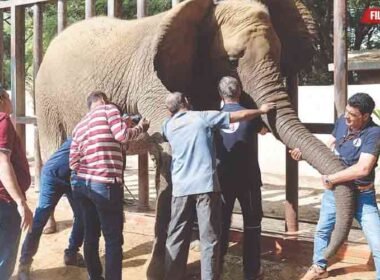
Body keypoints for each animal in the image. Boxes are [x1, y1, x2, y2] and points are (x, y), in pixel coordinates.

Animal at [35, 0, 354, 276]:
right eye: (232, 60)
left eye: (277, 54)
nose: (319, 267)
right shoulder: (155, 84)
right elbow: (169, 160)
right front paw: (159, 272)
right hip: (47, 101)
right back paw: (59, 238)